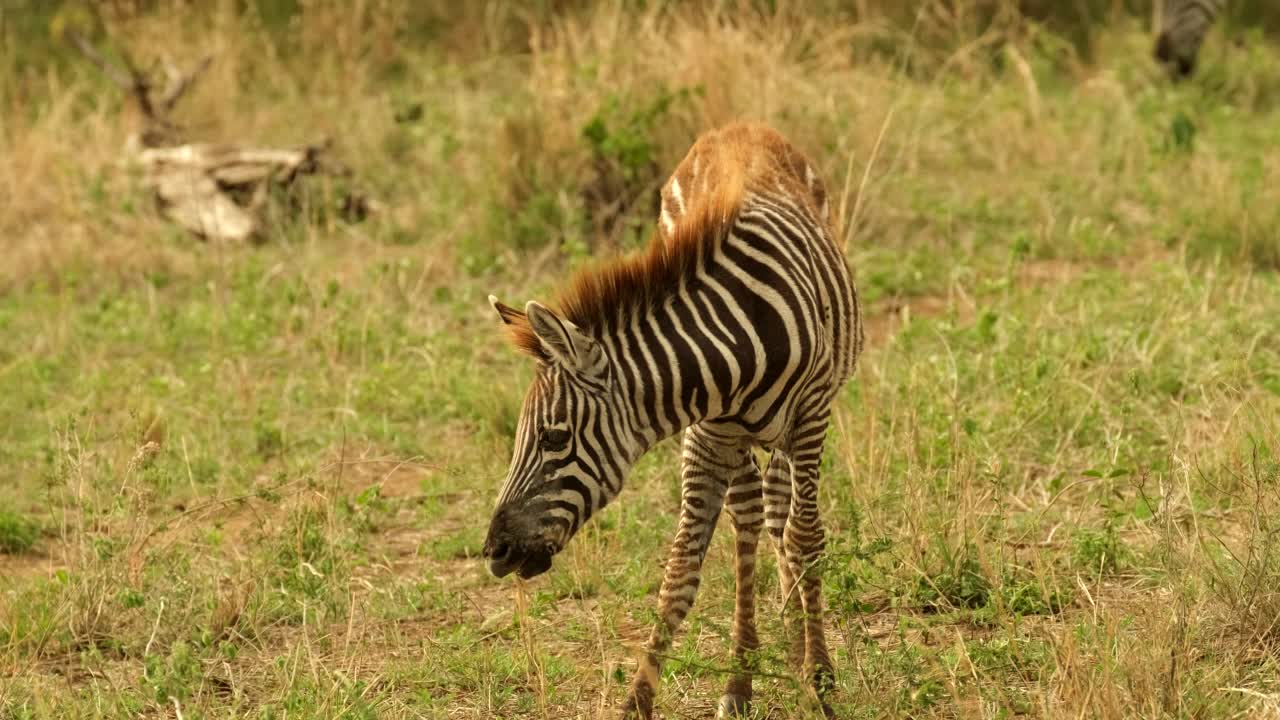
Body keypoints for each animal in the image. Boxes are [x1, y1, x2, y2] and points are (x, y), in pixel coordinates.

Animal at [483, 122, 865, 717]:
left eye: (554, 437)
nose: (494, 552)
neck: (737, 344)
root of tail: (738, 127)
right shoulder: (705, 435)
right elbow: (682, 565)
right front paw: (639, 701)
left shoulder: (811, 418)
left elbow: (806, 539)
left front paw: (821, 681)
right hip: (733, 439)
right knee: (751, 520)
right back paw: (745, 676)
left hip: (791, 430)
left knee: (782, 517)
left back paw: (798, 644)